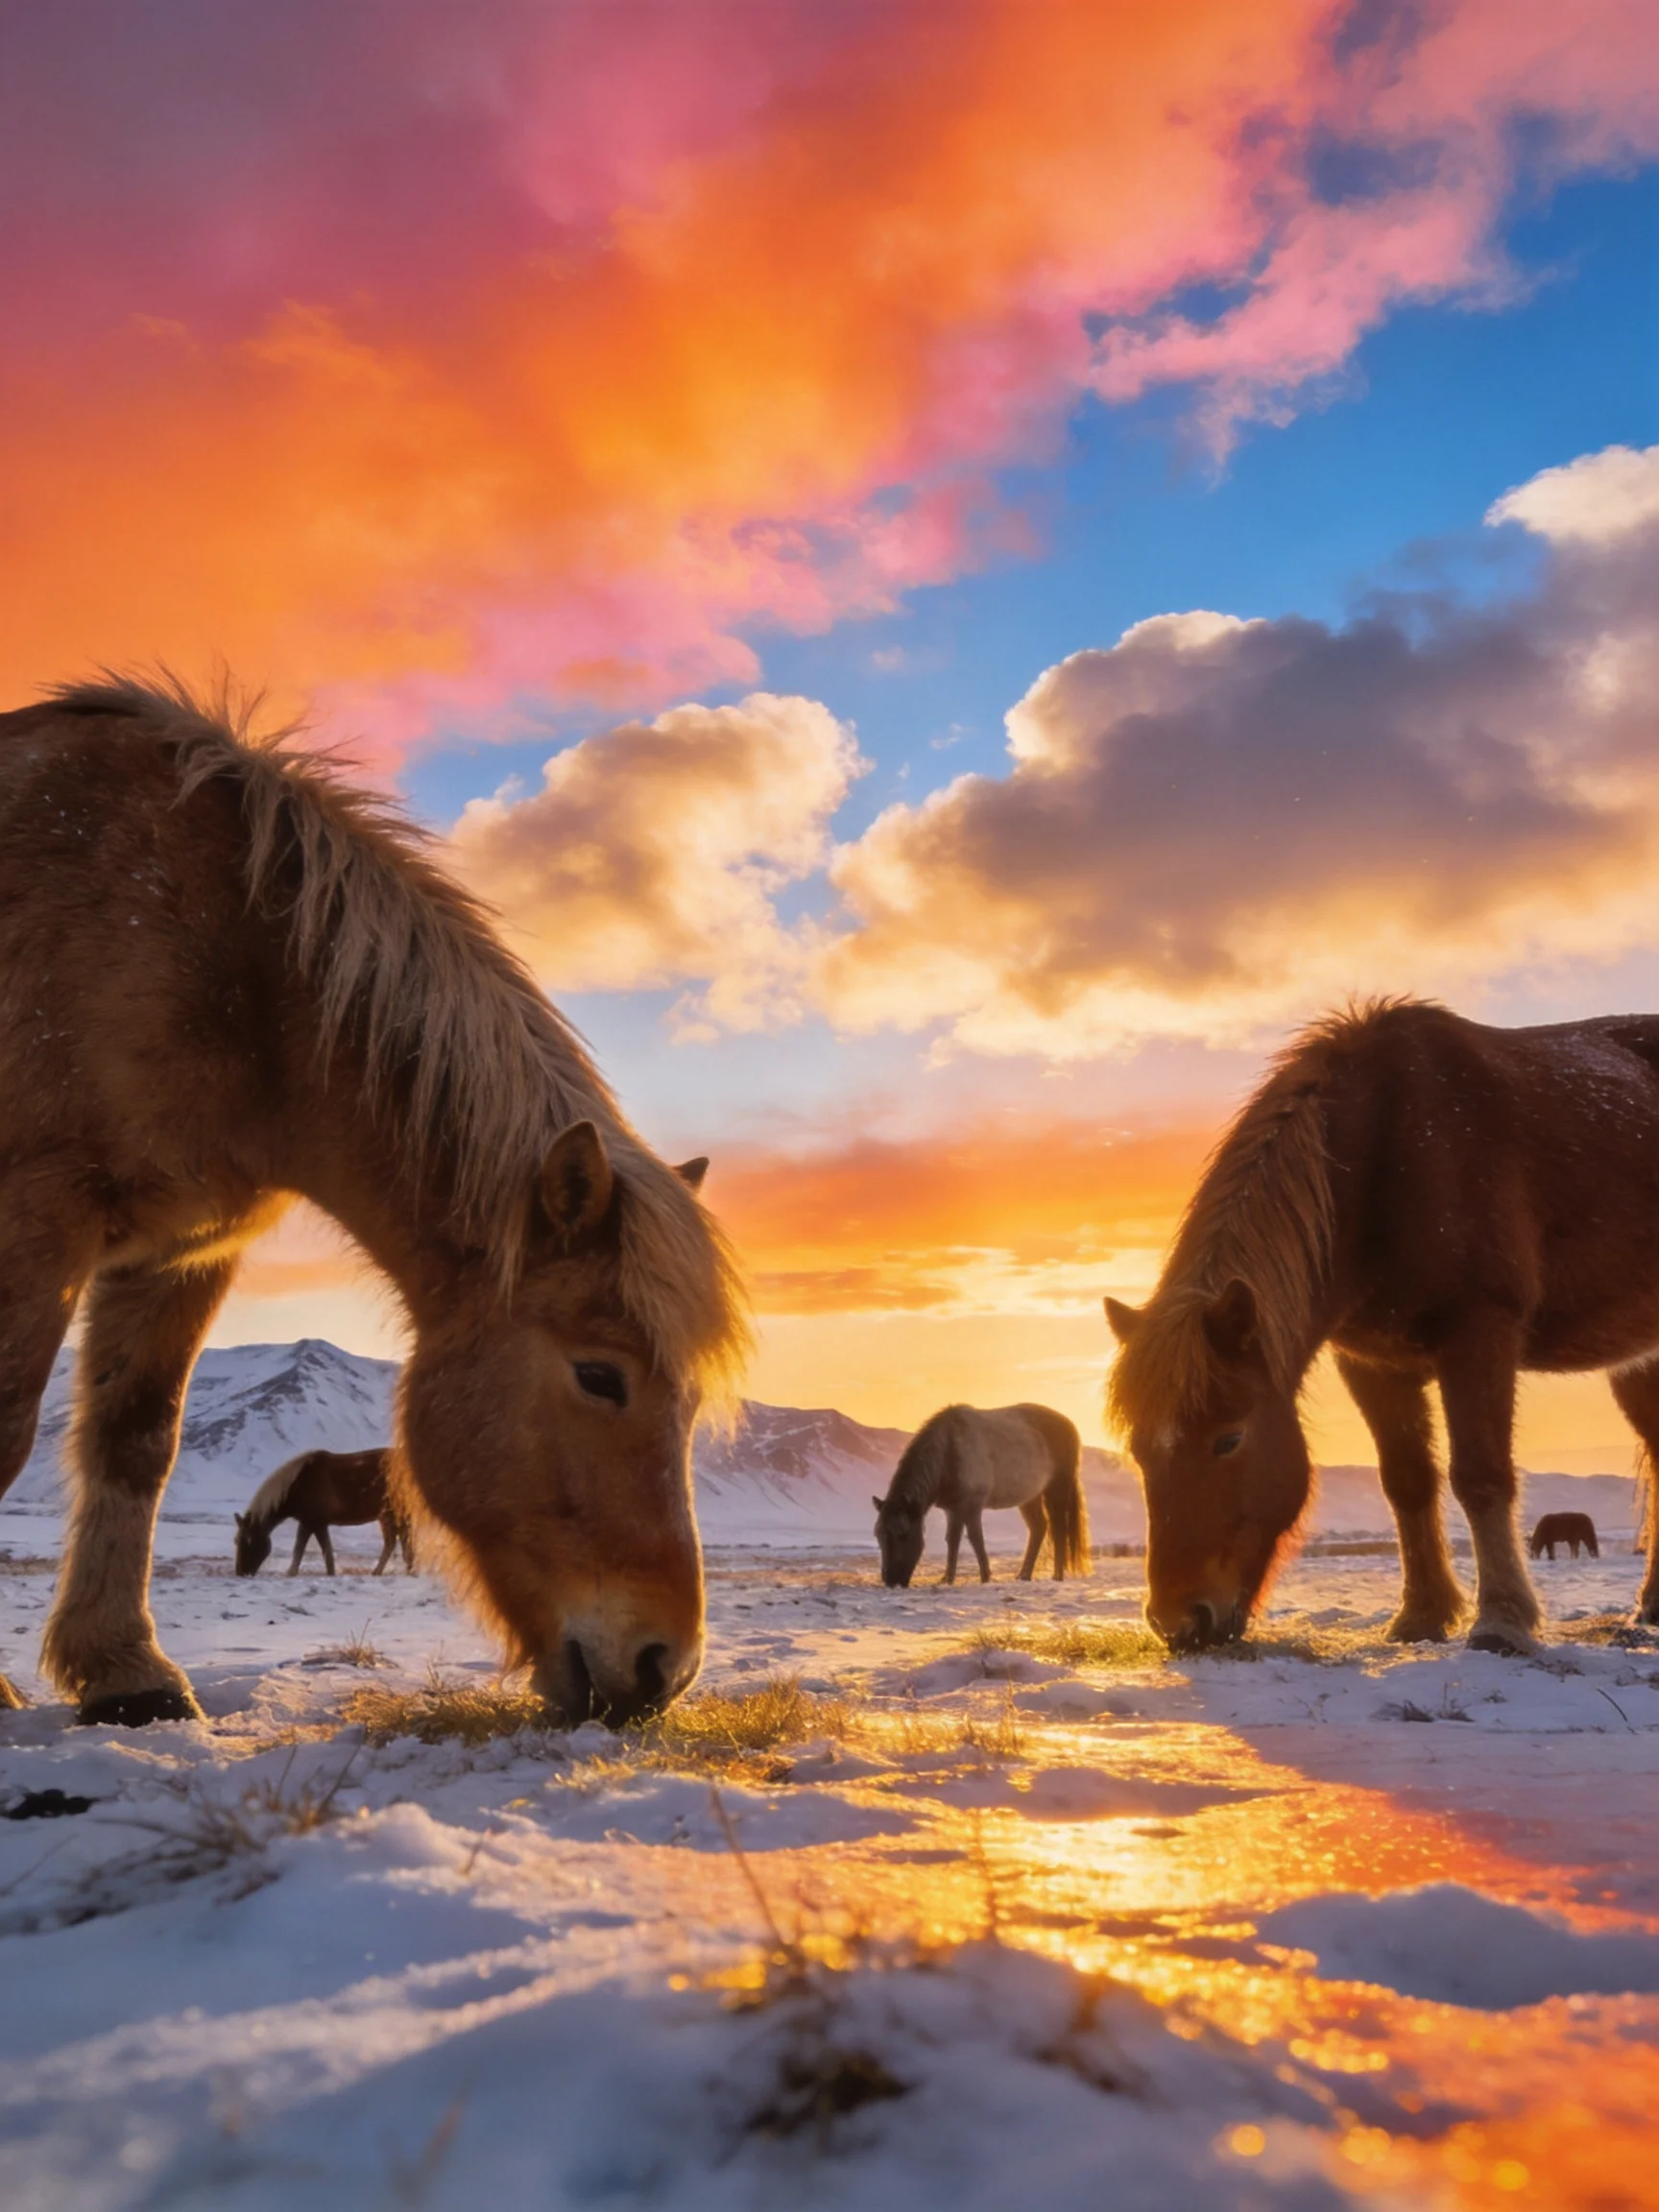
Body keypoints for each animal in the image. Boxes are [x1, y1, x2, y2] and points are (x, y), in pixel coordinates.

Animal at [235, 1447, 415, 1578]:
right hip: (389, 1516)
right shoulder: (316, 1523)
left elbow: (301, 1549)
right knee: (396, 1542)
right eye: (236, 1541)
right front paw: (330, 1573)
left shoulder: (311, 1522)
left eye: (247, 1541)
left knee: (395, 1542)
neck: (298, 1484)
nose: (241, 1573)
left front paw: (291, 1572)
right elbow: (325, 1550)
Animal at [873, 1404, 1089, 1587]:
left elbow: (976, 1539)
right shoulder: (953, 1509)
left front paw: (985, 1577)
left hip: (1057, 1489)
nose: (891, 1581)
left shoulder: (972, 1506)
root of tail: (1070, 1426)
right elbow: (952, 1541)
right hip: (1030, 1497)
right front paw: (947, 1579)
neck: (950, 1450)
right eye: (879, 1535)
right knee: (1039, 1528)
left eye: (903, 1533)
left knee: (1058, 1529)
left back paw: (1057, 1575)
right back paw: (1024, 1574)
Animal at [1106, 999, 1659, 1657]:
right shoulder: (1373, 1362)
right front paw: (1421, 1616)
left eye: (1229, 1439)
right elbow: (1407, 1483)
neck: (1387, 1153)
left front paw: (1501, 1619)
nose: (1178, 1622)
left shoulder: (1479, 1330)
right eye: (1139, 1450)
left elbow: (1481, 1475)